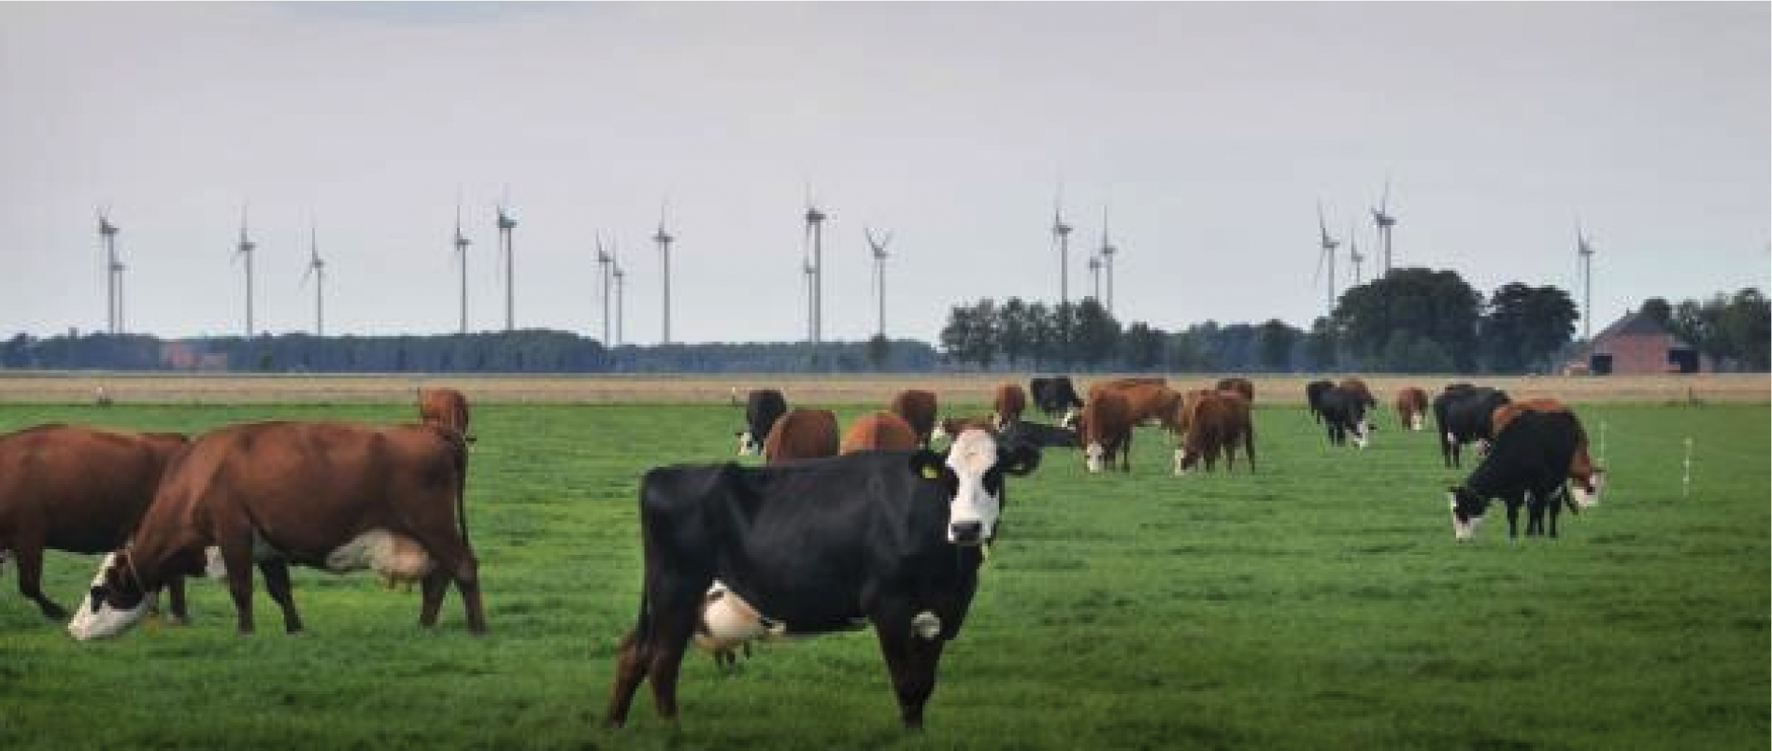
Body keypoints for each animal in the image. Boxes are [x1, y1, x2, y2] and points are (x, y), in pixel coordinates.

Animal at [72, 421, 485, 641]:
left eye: (97, 593)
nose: (73, 630)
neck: (199, 477)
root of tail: (430, 429)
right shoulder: (266, 545)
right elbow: (280, 590)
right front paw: (295, 630)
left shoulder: (233, 531)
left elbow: (241, 589)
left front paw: (244, 633)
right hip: (429, 535)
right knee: (438, 578)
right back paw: (425, 625)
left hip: (433, 525)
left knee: (463, 568)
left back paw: (477, 628)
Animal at [609, 430, 1041, 729]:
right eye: (947, 478)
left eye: (994, 473)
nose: (966, 527)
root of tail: (662, 474)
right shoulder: (889, 607)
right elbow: (906, 683)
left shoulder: (941, 612)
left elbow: (922, 686)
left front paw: (917, 733)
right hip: (675, 591)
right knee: (661, 661)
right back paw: (673, 732)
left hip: (668, 601)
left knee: (634, 652)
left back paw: (613, 724)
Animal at [1445, 407, 1587, 541]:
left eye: (1460, 511)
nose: (1460, 539)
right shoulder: (1511, 492)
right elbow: (1512, 515)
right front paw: (1513, 536)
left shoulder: (1538, 487)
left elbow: (1536, 510)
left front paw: (1530, 534)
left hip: (1557, 482)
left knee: (1552, 508)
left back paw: (1551, 533)